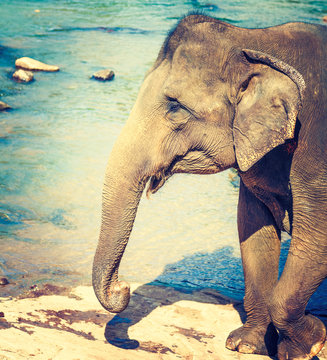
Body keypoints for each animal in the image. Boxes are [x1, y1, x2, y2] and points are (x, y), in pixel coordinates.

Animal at [92, 14, 327, 360]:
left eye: (175, 107)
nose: (124, 288)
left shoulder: (317, 154)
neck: (253, 40)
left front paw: (309, 346)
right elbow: (252, 227)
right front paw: (245, 345)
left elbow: (317, 237)